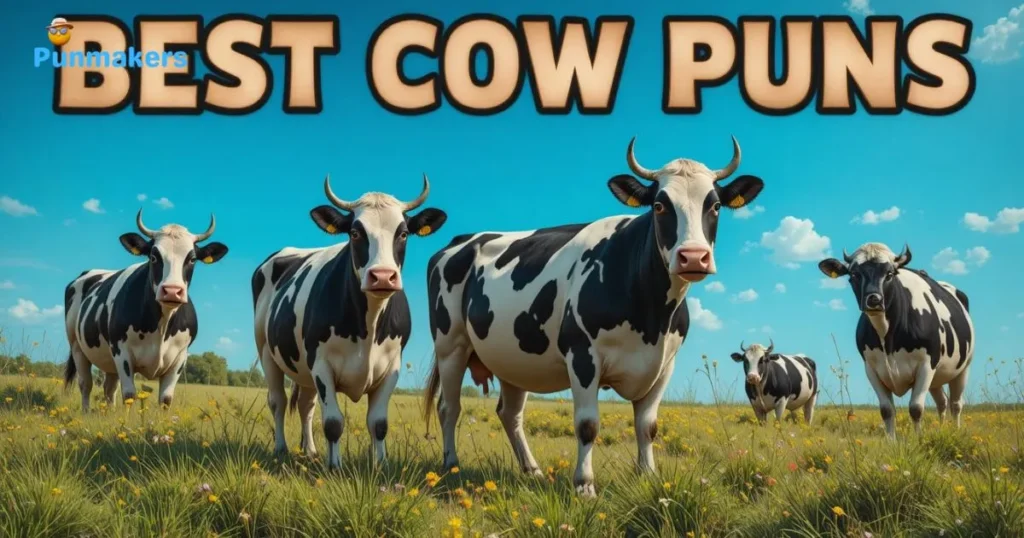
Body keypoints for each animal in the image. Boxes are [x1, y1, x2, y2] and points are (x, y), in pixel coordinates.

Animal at [63, 210, 228, 412]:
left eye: (192, 259)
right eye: (153, 256)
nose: (172, 290)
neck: (161, 327)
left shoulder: (180, 358)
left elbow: (165, 399)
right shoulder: (121, 351)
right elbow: (129, 395)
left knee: (109, 388)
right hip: (76, 345)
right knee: (85, 384)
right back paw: (86, 412)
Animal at [252, 175, 447, 470]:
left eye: (403, 233)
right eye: (355, 233)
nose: (382, 276)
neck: (368, 326)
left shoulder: (391, 367)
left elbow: (378, 423)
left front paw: (380, 465)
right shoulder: (321, 364)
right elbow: (333, 423)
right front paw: (335, 466)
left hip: (304, 369)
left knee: (305, 406)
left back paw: (310, 451)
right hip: (266, 351)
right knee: (278, 401)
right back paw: (281, 448)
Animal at [422, 137, 765, 496]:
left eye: (715, 206)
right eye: (659, 205)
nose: (694, 257)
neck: (652, 318)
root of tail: (463, 239)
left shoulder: (664, 364)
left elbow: (648, 426)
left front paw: (648, 475)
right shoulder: (582, 355)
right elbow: (587, 425)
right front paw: (584, 484)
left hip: (511, 358)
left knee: (510, 414)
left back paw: (532, 470)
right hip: (451, 346)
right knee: (449, 407)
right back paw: (451, 465)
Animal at [818, 242, 974, 439]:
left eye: (889, 274)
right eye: (854, 274)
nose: (874, 299)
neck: (888, 339)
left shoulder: (926, 364)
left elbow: (916, 408)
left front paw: (918, 440)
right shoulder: (871, 369)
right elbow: (886, 410)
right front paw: (891, 442)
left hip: (963, 367)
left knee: (955, 404)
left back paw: (955, 432)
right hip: (937, 377)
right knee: (942, 403)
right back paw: (942, 430)